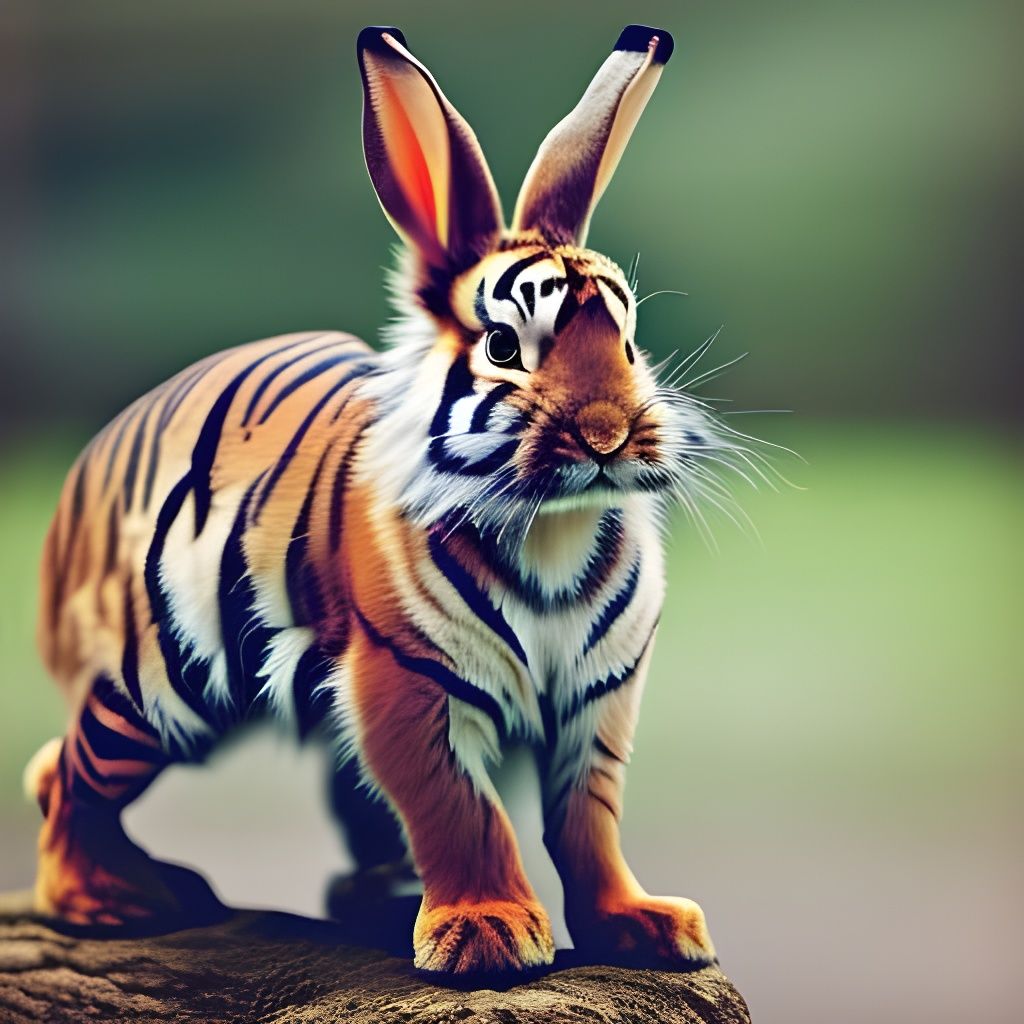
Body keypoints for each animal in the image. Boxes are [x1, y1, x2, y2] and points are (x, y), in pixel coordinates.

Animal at [26, 24, 738, 974]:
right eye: (505, 347)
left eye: (627, 340)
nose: (609, 433)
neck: (554, 532)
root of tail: (95, 460)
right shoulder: (405, 679)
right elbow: (460, 810)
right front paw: (486, 931)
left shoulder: (599, 699)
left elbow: (589, 821)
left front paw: (639, 921)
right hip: (152, 686)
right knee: (71, 776)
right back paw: (102, 900)